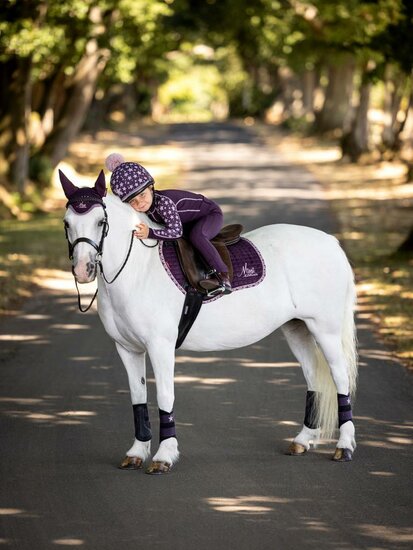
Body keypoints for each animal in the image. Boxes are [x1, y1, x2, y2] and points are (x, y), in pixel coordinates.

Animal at [61, 175, 358, 476]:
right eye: (67, 223)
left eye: (101, 221)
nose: (83, 270)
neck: (137, 270)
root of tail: (330, 242)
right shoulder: (128, 349)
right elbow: (138, 397)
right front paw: (136, 452)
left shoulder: (160, 347)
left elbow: (165, 396)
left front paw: (163, 456)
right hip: (297, 329)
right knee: (313, 379)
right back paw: (303, 440)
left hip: (325, 330)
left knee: (341, 378)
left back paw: (344, 447)